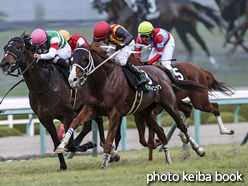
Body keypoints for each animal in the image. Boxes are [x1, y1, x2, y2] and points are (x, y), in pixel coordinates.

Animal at [0, 32, 105, 170]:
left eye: (18, 47)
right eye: (5, 48)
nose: (4, 64)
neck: (46, 84)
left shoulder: (67, 115)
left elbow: (70, 144)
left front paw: (89, 144)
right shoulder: (45, 119)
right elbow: (56, 142)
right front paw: (63, 165)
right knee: (94, 121)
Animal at [55, 43, 206, 169]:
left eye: (84, 59)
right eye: (71, 60)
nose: (72, 80)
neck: (103, 81)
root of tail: (159, 68)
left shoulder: (115, 112)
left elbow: (109, 140)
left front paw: (105, 163)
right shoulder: (90, 109)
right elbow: (74, 123)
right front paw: (61, 145)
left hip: (170, 105)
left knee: (181, 125)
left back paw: (199, 149)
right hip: (146, 113)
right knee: (162, 133)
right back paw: (168, 159)